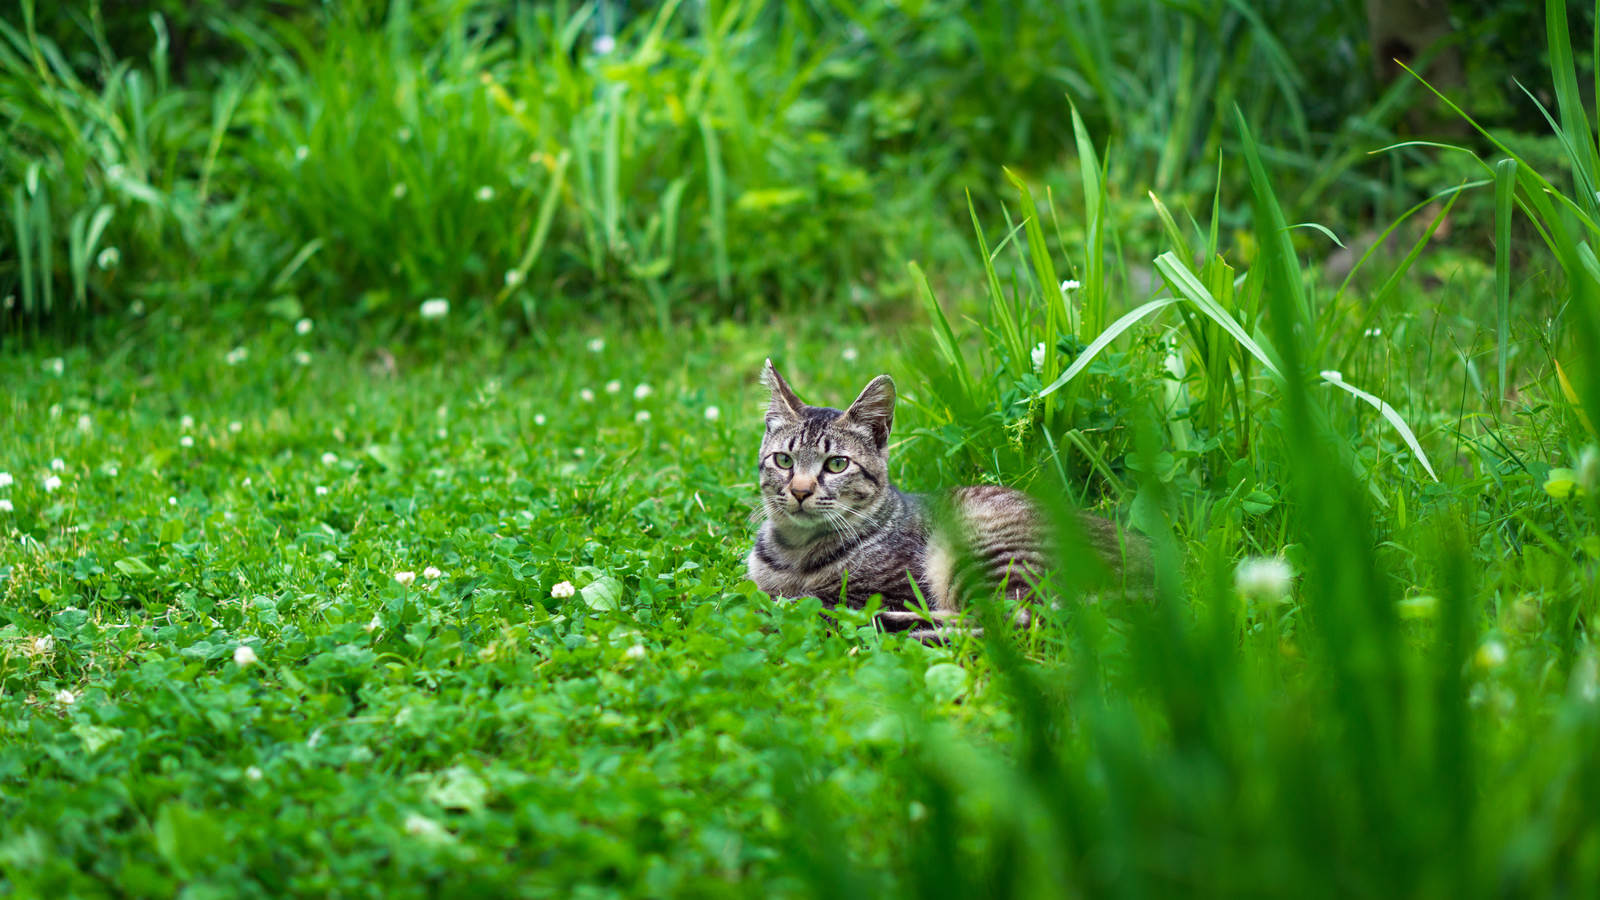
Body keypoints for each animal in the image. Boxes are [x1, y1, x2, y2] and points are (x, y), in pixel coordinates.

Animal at [748, 357, 1152, 637]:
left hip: (983, 554)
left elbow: (808, 600)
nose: (800, 491)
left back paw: (899, 627)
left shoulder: (889, 588)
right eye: (783, 460)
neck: (794, 552)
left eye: (836, 464)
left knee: (1017, 622)